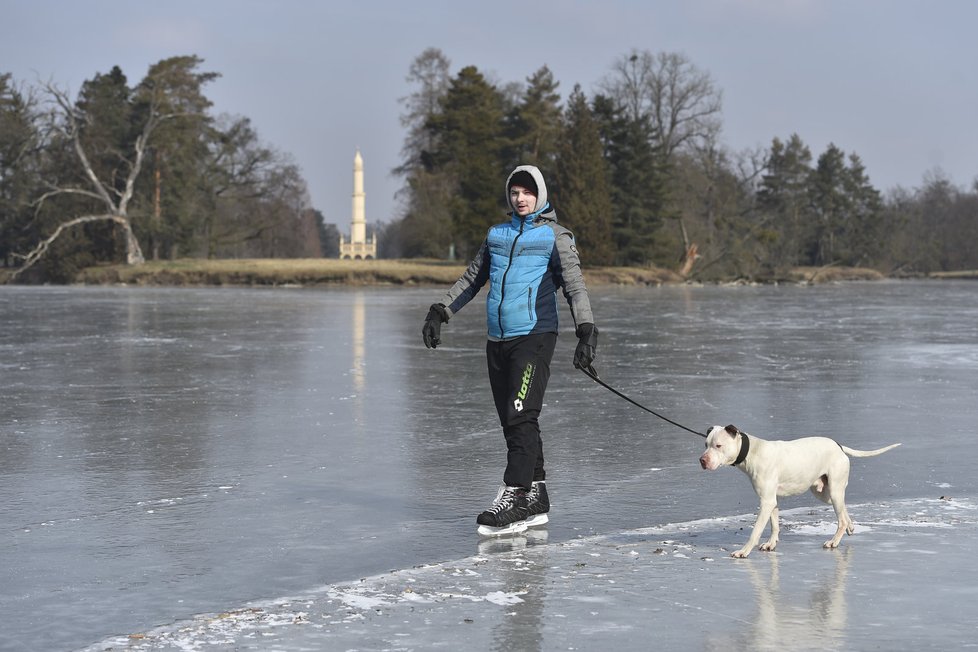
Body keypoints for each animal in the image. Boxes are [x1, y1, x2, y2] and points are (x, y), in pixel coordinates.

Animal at [696, 426, 896, 556]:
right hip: (825, 493)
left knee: (840, 520)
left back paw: (834, 541)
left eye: (718, 445)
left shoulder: (766, 502)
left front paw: (744, 551)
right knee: (844, 511)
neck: (753, 451)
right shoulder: (772, 500)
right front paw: (771, 544)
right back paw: (851, 526)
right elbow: (775, 525)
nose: (702, 460)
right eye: (705, 444)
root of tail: (838, 446)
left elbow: (756, 531)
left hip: (834, 491)